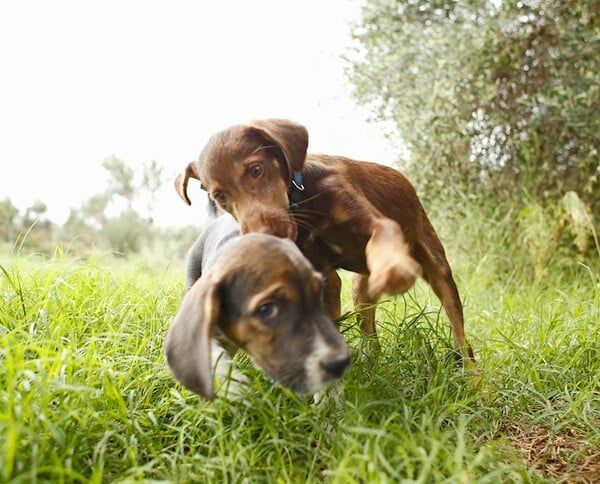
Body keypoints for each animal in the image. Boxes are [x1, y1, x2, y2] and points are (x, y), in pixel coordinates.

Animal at [176, 119, 476, 362]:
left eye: (256, 170)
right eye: (220, 196)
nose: (263, 235)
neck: (305, 197)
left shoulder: (377, 222)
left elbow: (381, 240)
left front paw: (394, 272)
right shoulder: (325, 276)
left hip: (438, 267)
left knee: (461, 338)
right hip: (360, 291)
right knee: (371, 337)